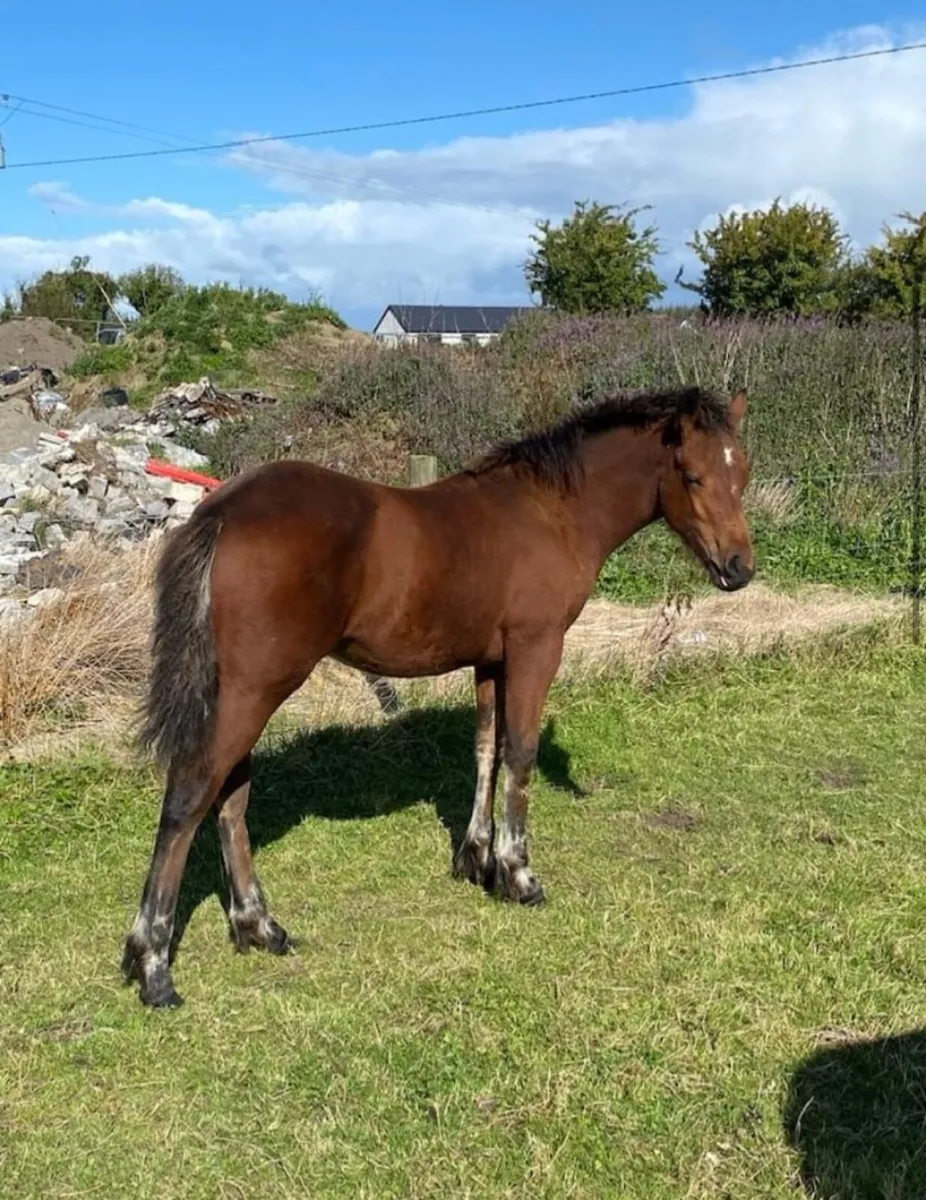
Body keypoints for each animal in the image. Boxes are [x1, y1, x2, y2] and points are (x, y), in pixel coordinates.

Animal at [122, 385, 754, 1008]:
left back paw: (259, 927)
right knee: (190, 797)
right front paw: (518, 875)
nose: (739, 569)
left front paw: (476, 860)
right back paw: (154, 965)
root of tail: (221, 511)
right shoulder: (536, 647)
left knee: (229, 799)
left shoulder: (490, 661)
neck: (551, 511)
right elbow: (519, 754)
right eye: (692, 476)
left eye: (742, 473)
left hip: (239, 692)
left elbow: (485, 749)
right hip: (255, 689)